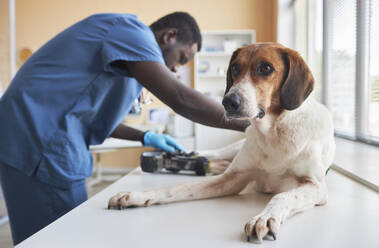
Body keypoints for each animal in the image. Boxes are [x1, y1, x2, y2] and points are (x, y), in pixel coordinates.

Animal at [107, 42, 336, 242]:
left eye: (266, 68)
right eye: (234, 67)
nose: (228, 101)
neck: (272, 133)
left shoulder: (316, 186)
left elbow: (283, 196)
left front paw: (263, 217)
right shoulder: (231, 179)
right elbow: (178, 188)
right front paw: (137, 196)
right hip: (230, 152)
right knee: (210, 154)